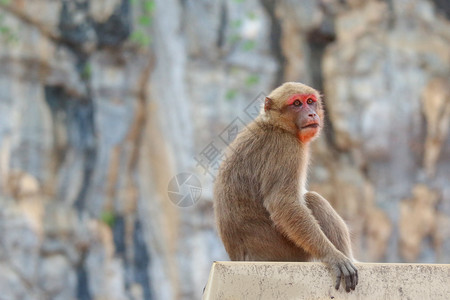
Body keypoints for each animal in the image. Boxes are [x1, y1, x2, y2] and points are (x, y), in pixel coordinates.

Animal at [214, 81, 358, 290]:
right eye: (297, 103)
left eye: (310, 102)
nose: (311, 114)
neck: (276, 125)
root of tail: (241, 259)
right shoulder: (287, 148)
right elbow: (283, 203)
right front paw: (333, 256)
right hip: (286, 251)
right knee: (312, 199)